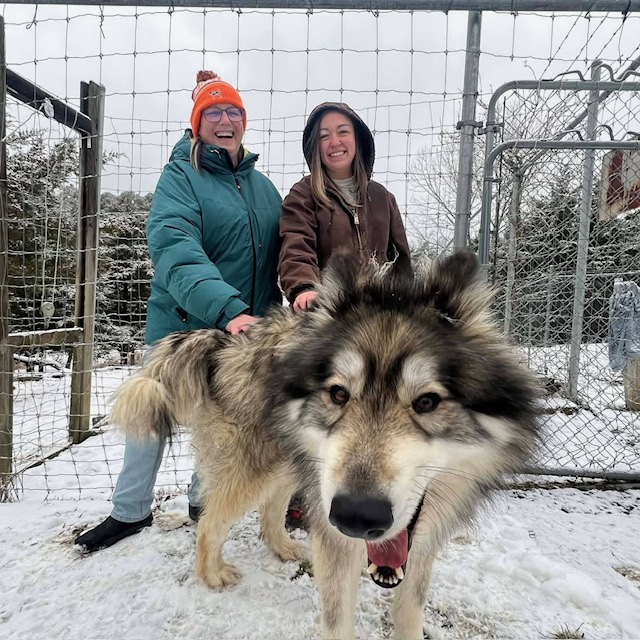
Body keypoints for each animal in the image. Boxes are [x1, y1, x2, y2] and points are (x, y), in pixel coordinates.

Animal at [110, 250, 540, 640]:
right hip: (261, 472)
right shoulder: (334, 536)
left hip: (296, 468)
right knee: (211, 521)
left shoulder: (421, 539)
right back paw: (212, 575)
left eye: (427, 402)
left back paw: (283, 548)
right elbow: (337, 618)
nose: (358, 516)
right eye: (338, 394)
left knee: (270, 510)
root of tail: (227, 342)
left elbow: (409, 610)